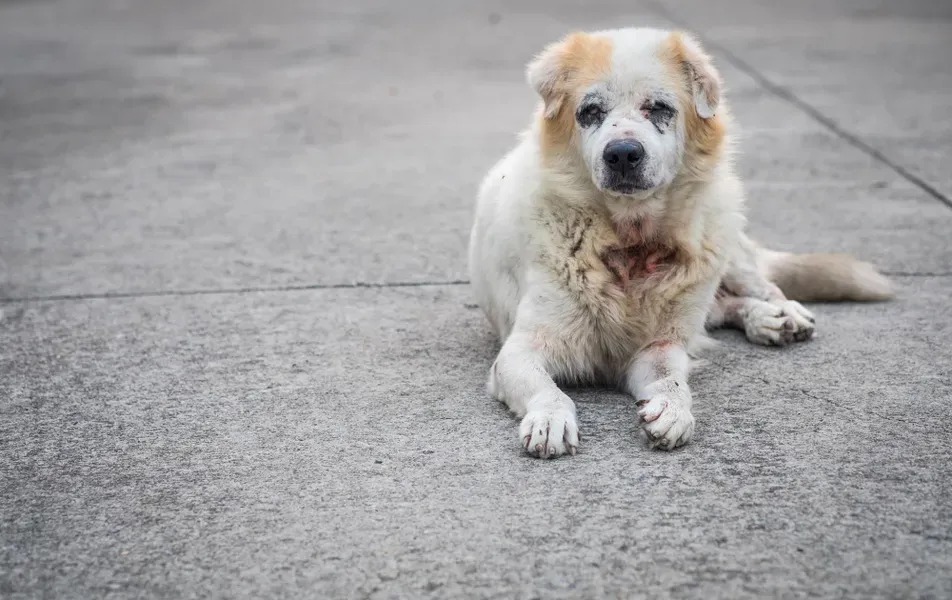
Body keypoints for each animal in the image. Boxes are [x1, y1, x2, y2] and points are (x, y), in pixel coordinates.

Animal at [468, 27, 892, 460]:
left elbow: (671, 380)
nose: (623, 154)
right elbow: (548, 390)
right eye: (591, 112)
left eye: (658, 108)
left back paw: (780, 312)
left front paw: (673, 411)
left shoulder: (659, 346)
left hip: (724, 243)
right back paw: (763, 320)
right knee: (720, 310)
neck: (629, 240)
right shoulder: (521, 350)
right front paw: (550, 419)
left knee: (755, 285)